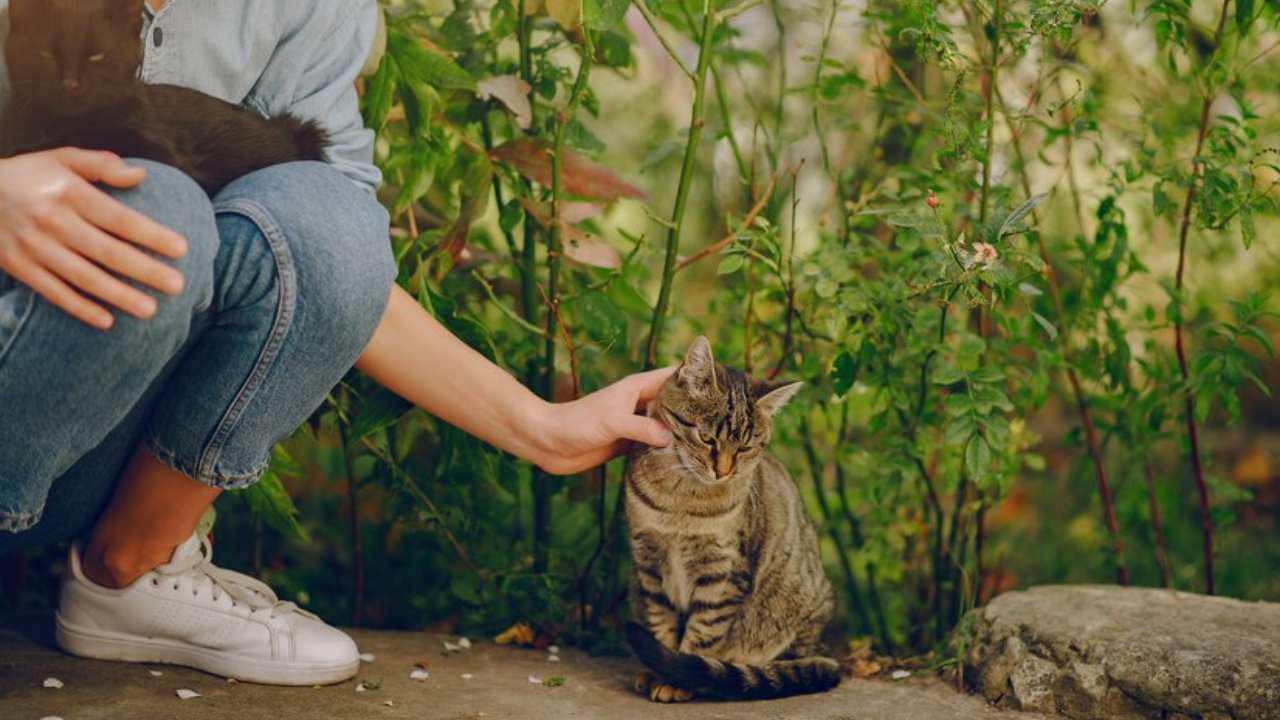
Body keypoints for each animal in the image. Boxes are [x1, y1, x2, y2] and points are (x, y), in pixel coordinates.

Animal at [627, 335, 844, 702]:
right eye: (707, 438)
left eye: (744, 448)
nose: (723, 471)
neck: (680, 502)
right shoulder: (649, 560)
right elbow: (660, 621)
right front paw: (657, 668)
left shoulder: (724, 572)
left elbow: (702, 633)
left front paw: (676, 679)